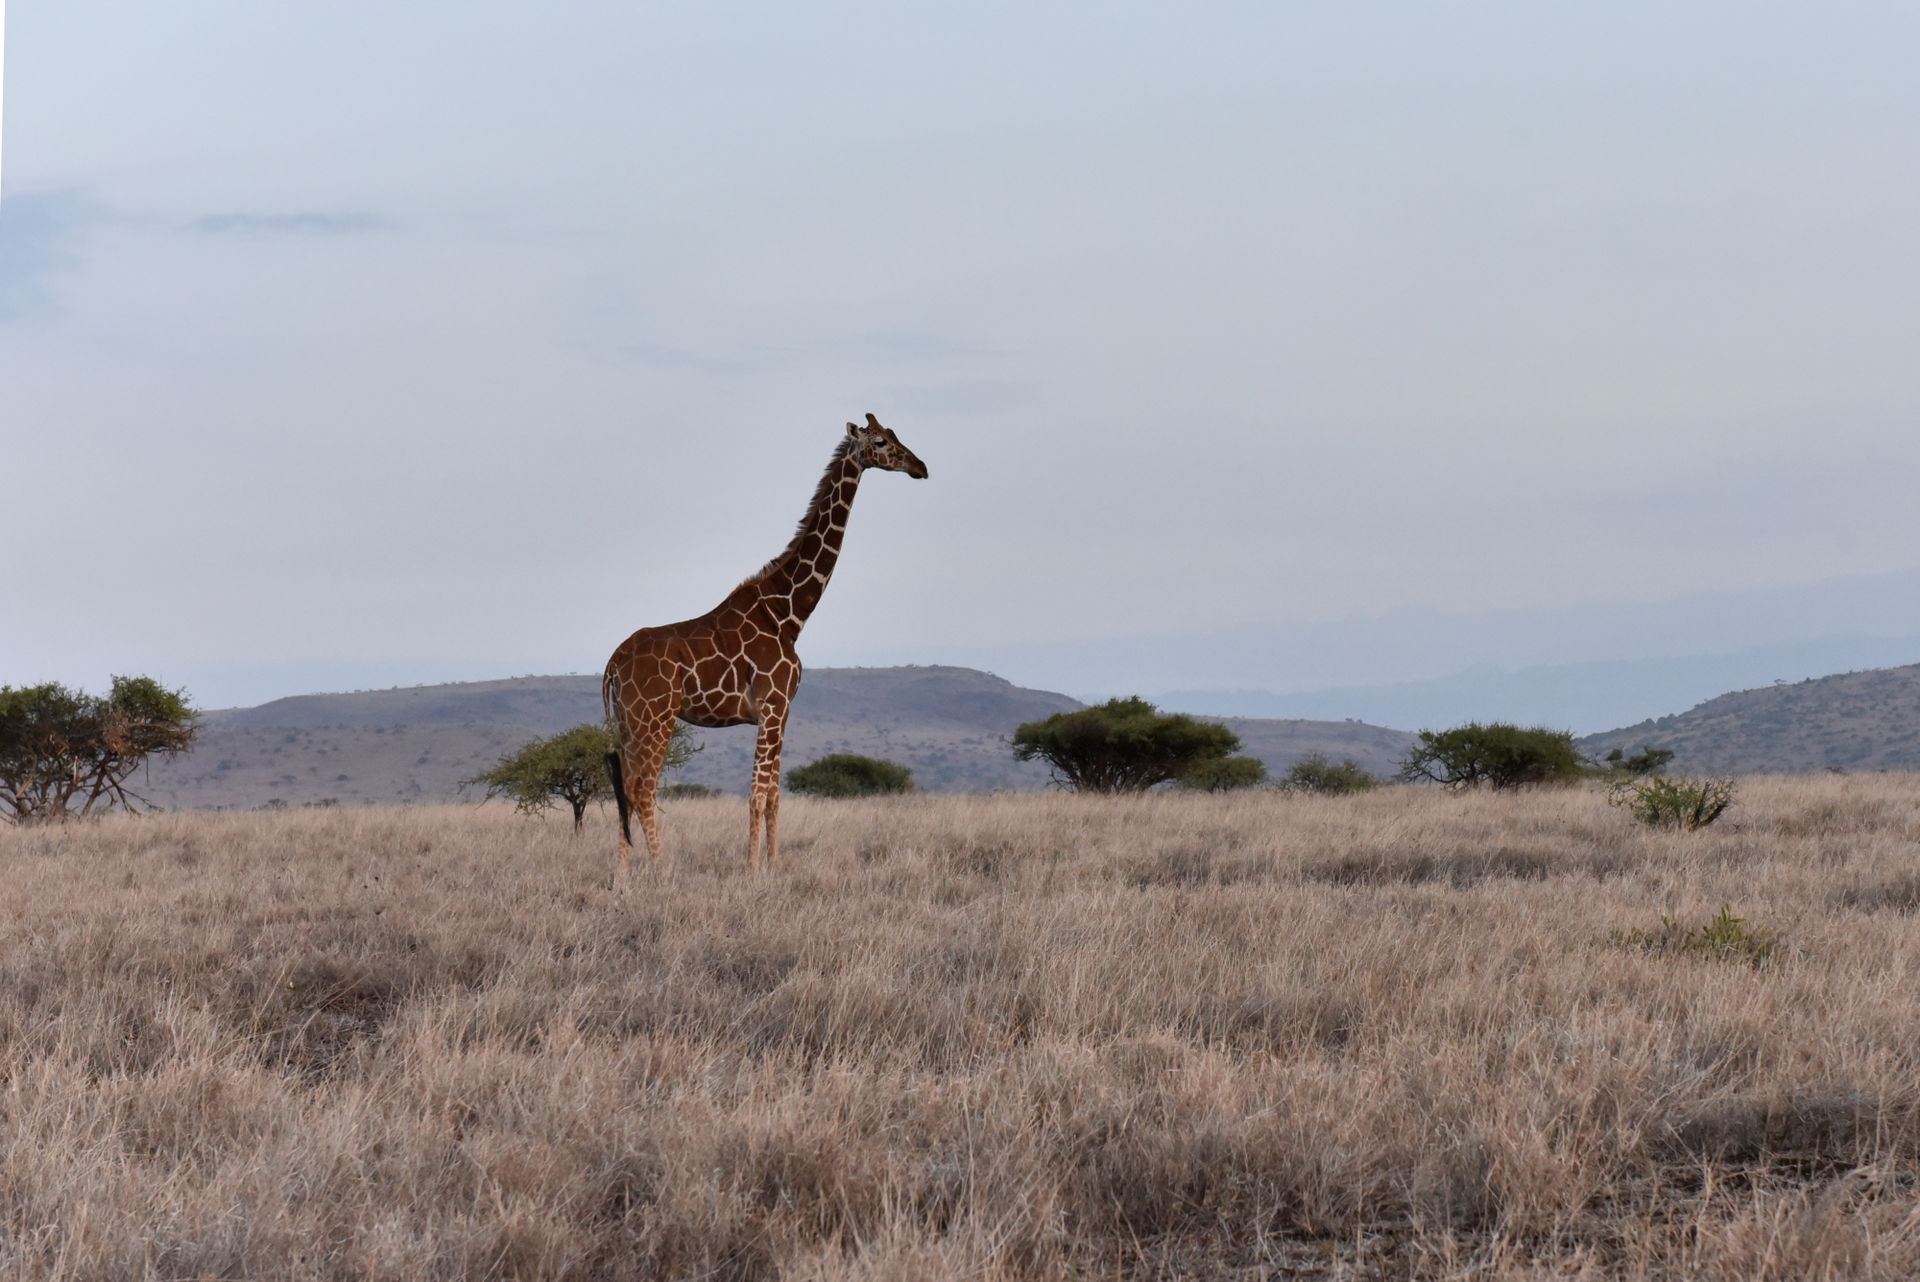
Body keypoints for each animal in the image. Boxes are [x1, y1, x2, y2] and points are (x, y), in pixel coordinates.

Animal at [601, 413, 928, 878]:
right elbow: (756, 793)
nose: (921, 467)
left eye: (897, 435)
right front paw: (752, 869)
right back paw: (662, 870)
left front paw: (774, 864)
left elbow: (774, 793)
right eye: (881, 442)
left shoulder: (783, 710)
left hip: (629, 722)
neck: (789, 614)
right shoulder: (772, 705)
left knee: (623, 789)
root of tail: (613, 661)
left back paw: (623, 878)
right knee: (642, 788)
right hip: (655, 717)